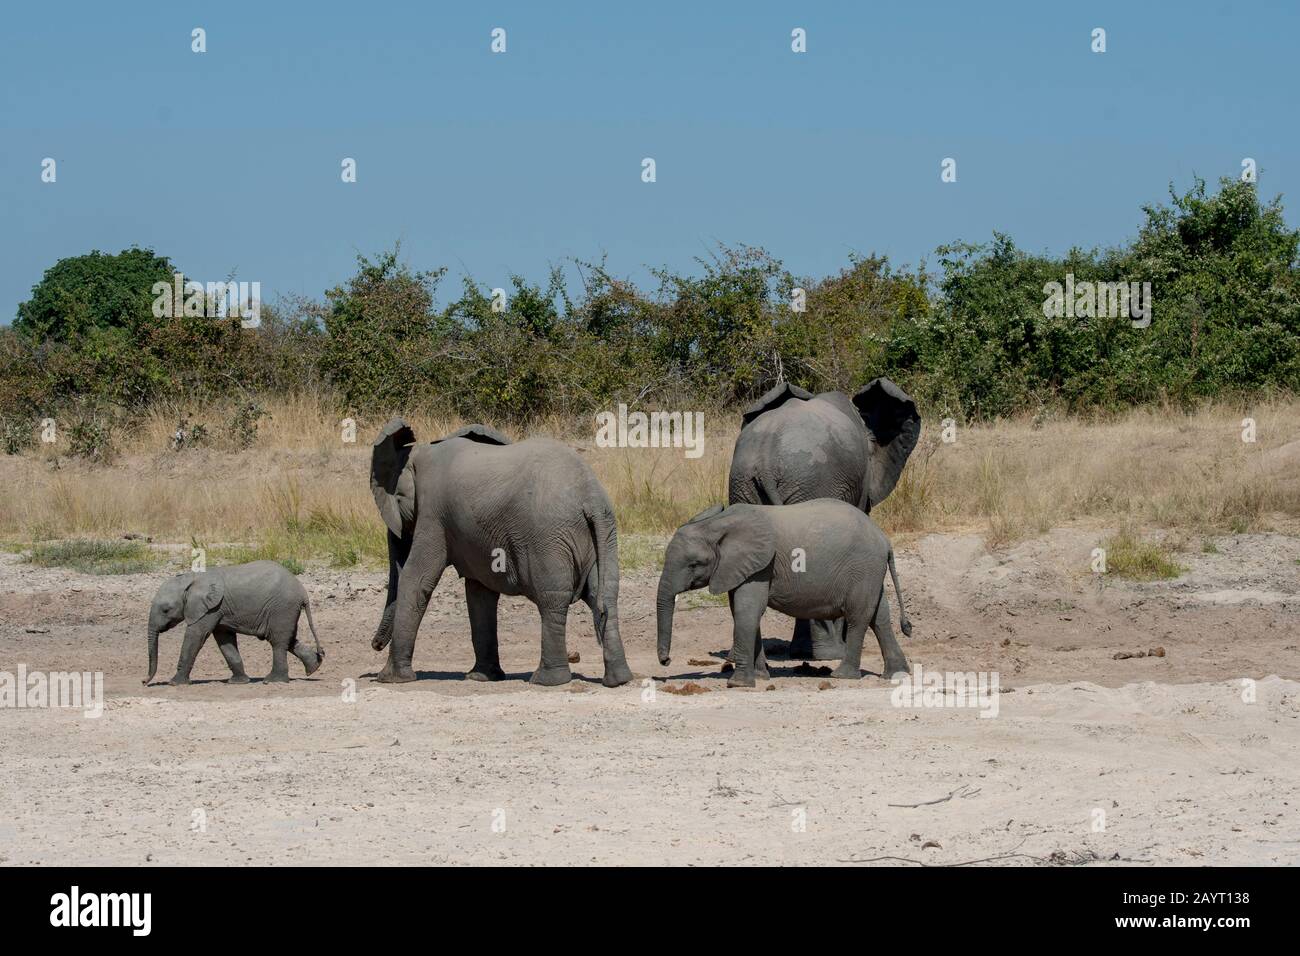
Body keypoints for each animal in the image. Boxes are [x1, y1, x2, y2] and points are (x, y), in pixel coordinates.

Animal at [144, 560, 324, 685]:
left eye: (166, 610)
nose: (144, 682)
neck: (191, 579)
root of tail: (303, 593)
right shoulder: (218, 610)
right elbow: (224, 640)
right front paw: (238, 682)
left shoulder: (210, 609)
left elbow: (196, 636)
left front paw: (174, 683)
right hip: (286, 611)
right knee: (289, 639)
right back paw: (313, 668)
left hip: (282, 608)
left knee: (278, 642)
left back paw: (273, 681)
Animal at [369, 420, 633, 687]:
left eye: (397, 499)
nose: (375, 645)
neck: (418, 453)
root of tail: (590, 497)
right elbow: (479, 592)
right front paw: (482, 678)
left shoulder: (433, 515)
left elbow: (417, 579)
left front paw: (390, 679)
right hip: (605, 533)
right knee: (605, 595)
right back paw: (617, 680)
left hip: (549, 537)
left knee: (553, 600)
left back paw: (546, 680)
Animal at [656, 500, 911, 687]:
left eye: (694, 564)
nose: (666, 661)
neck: (718, 524)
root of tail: (884, 539)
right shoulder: (737, 568)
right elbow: (743, 612)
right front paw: (760, 678)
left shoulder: (762, 565)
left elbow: (747, 612)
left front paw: (738, 684)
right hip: (870, 572)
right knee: (880, 617)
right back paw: (896, 675)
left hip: (863, 568)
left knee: (859, 616)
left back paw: (842, 676)